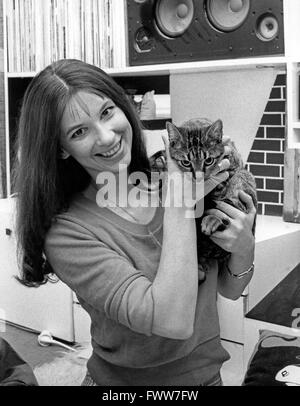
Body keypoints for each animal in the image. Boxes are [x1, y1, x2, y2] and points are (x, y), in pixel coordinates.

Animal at [165, 118, 256, 276]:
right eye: (186, 162)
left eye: (208, 160)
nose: (199, 177)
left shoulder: (230, 171)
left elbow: (221, 195)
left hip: (244, 177)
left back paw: (213, 220)